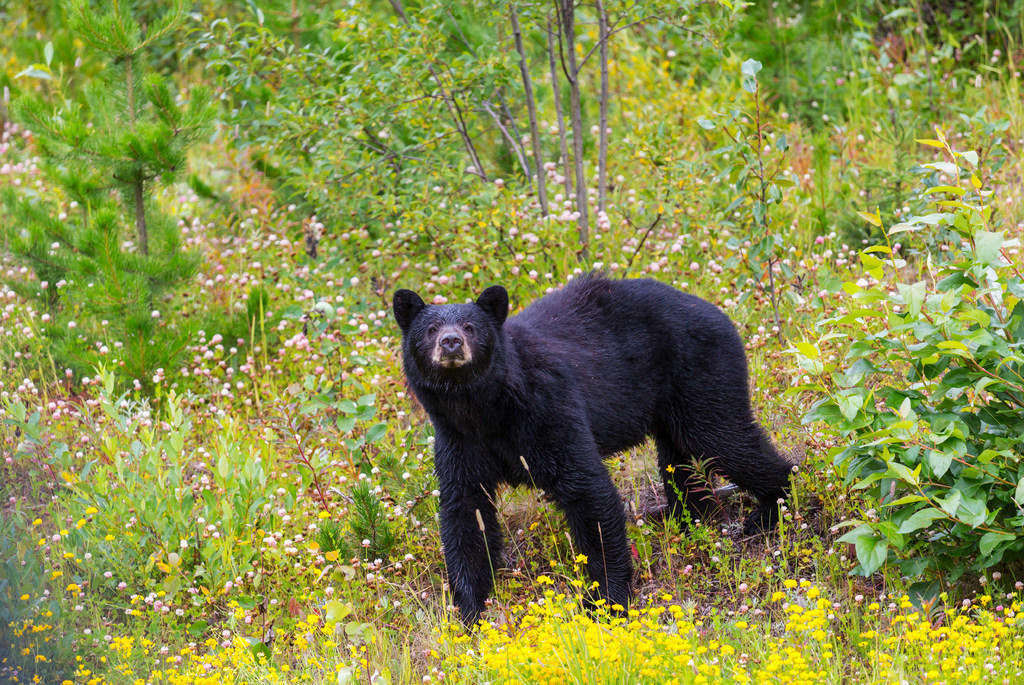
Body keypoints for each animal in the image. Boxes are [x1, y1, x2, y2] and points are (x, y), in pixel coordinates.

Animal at [391, 274, 790, 626]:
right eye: (430, 329)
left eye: (471, 326)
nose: (451, 342)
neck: (482, 408)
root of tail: (716, 310)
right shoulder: (459, 440)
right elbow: (466, 512)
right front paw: (470, 611)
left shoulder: (546, 409)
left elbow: (587, 490)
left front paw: (605, 602)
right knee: (679, 463)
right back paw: (689, 516)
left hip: (701, 373)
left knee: (725, 438)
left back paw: (770, 509)